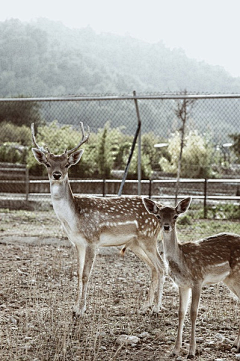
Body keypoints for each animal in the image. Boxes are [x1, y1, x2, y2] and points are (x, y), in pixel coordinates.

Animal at [31, 123, 165, 316]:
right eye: (47, 164)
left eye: (67, 164)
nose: (56, 174)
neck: (74, 220)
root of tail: (162, 209)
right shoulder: (77, 243)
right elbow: (78, 273)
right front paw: (74, 307)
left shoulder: (93, 240)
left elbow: (86, 275)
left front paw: (81, 310)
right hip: (135, 243)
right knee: (153, 267)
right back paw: (144, 306)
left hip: (149, 238)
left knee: (162, 266)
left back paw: (156, 307)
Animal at [143, 197, 240, 358]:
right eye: (158, 216)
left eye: (175, 216)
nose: (166, 227)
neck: (182, 262)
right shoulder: (182, 284)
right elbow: (181, 313)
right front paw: (175, 350)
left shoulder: (197, 280)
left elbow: (193, 312)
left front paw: (192, 351)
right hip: (229, 280)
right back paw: (235, 344)